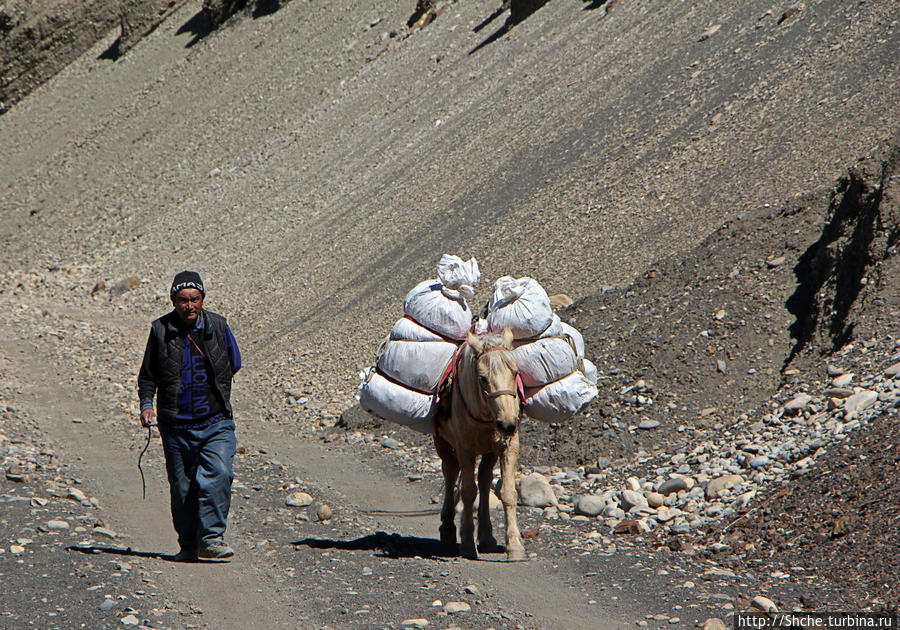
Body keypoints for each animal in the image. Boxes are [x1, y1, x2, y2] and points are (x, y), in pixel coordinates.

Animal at [432, 328, 524, 560]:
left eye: (515, 372)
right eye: (482, 378)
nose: (508, 424)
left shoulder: (509, 446)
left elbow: (508, 493)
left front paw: (515, 546)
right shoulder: (464, 449)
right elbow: (467, 492)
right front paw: (466, 543)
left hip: (490, 451)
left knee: (484, 479)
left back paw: (487, 537)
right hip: (441, 441)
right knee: (451, 473)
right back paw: (448, 529)